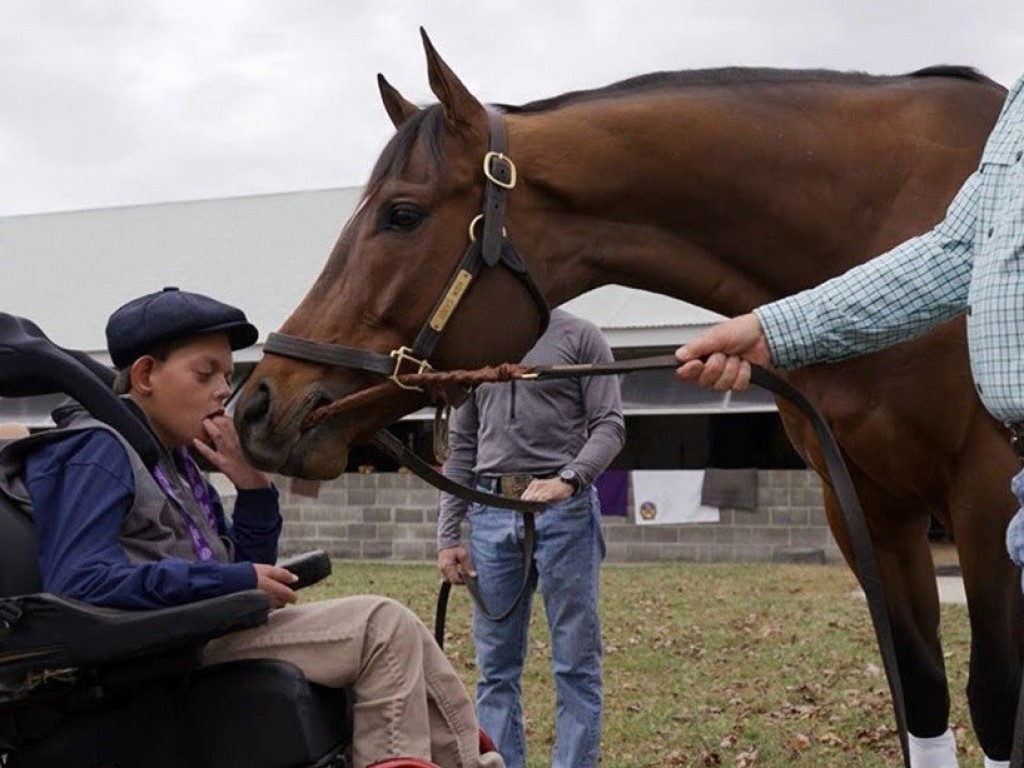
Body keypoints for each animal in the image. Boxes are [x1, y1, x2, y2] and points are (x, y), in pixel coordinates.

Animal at [234, 30, 1024, 765]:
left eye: (401, 215)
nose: (258, 404)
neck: (883, 223)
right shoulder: (865, 506)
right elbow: (922, 694)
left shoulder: (988, 500)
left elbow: (994, 701)